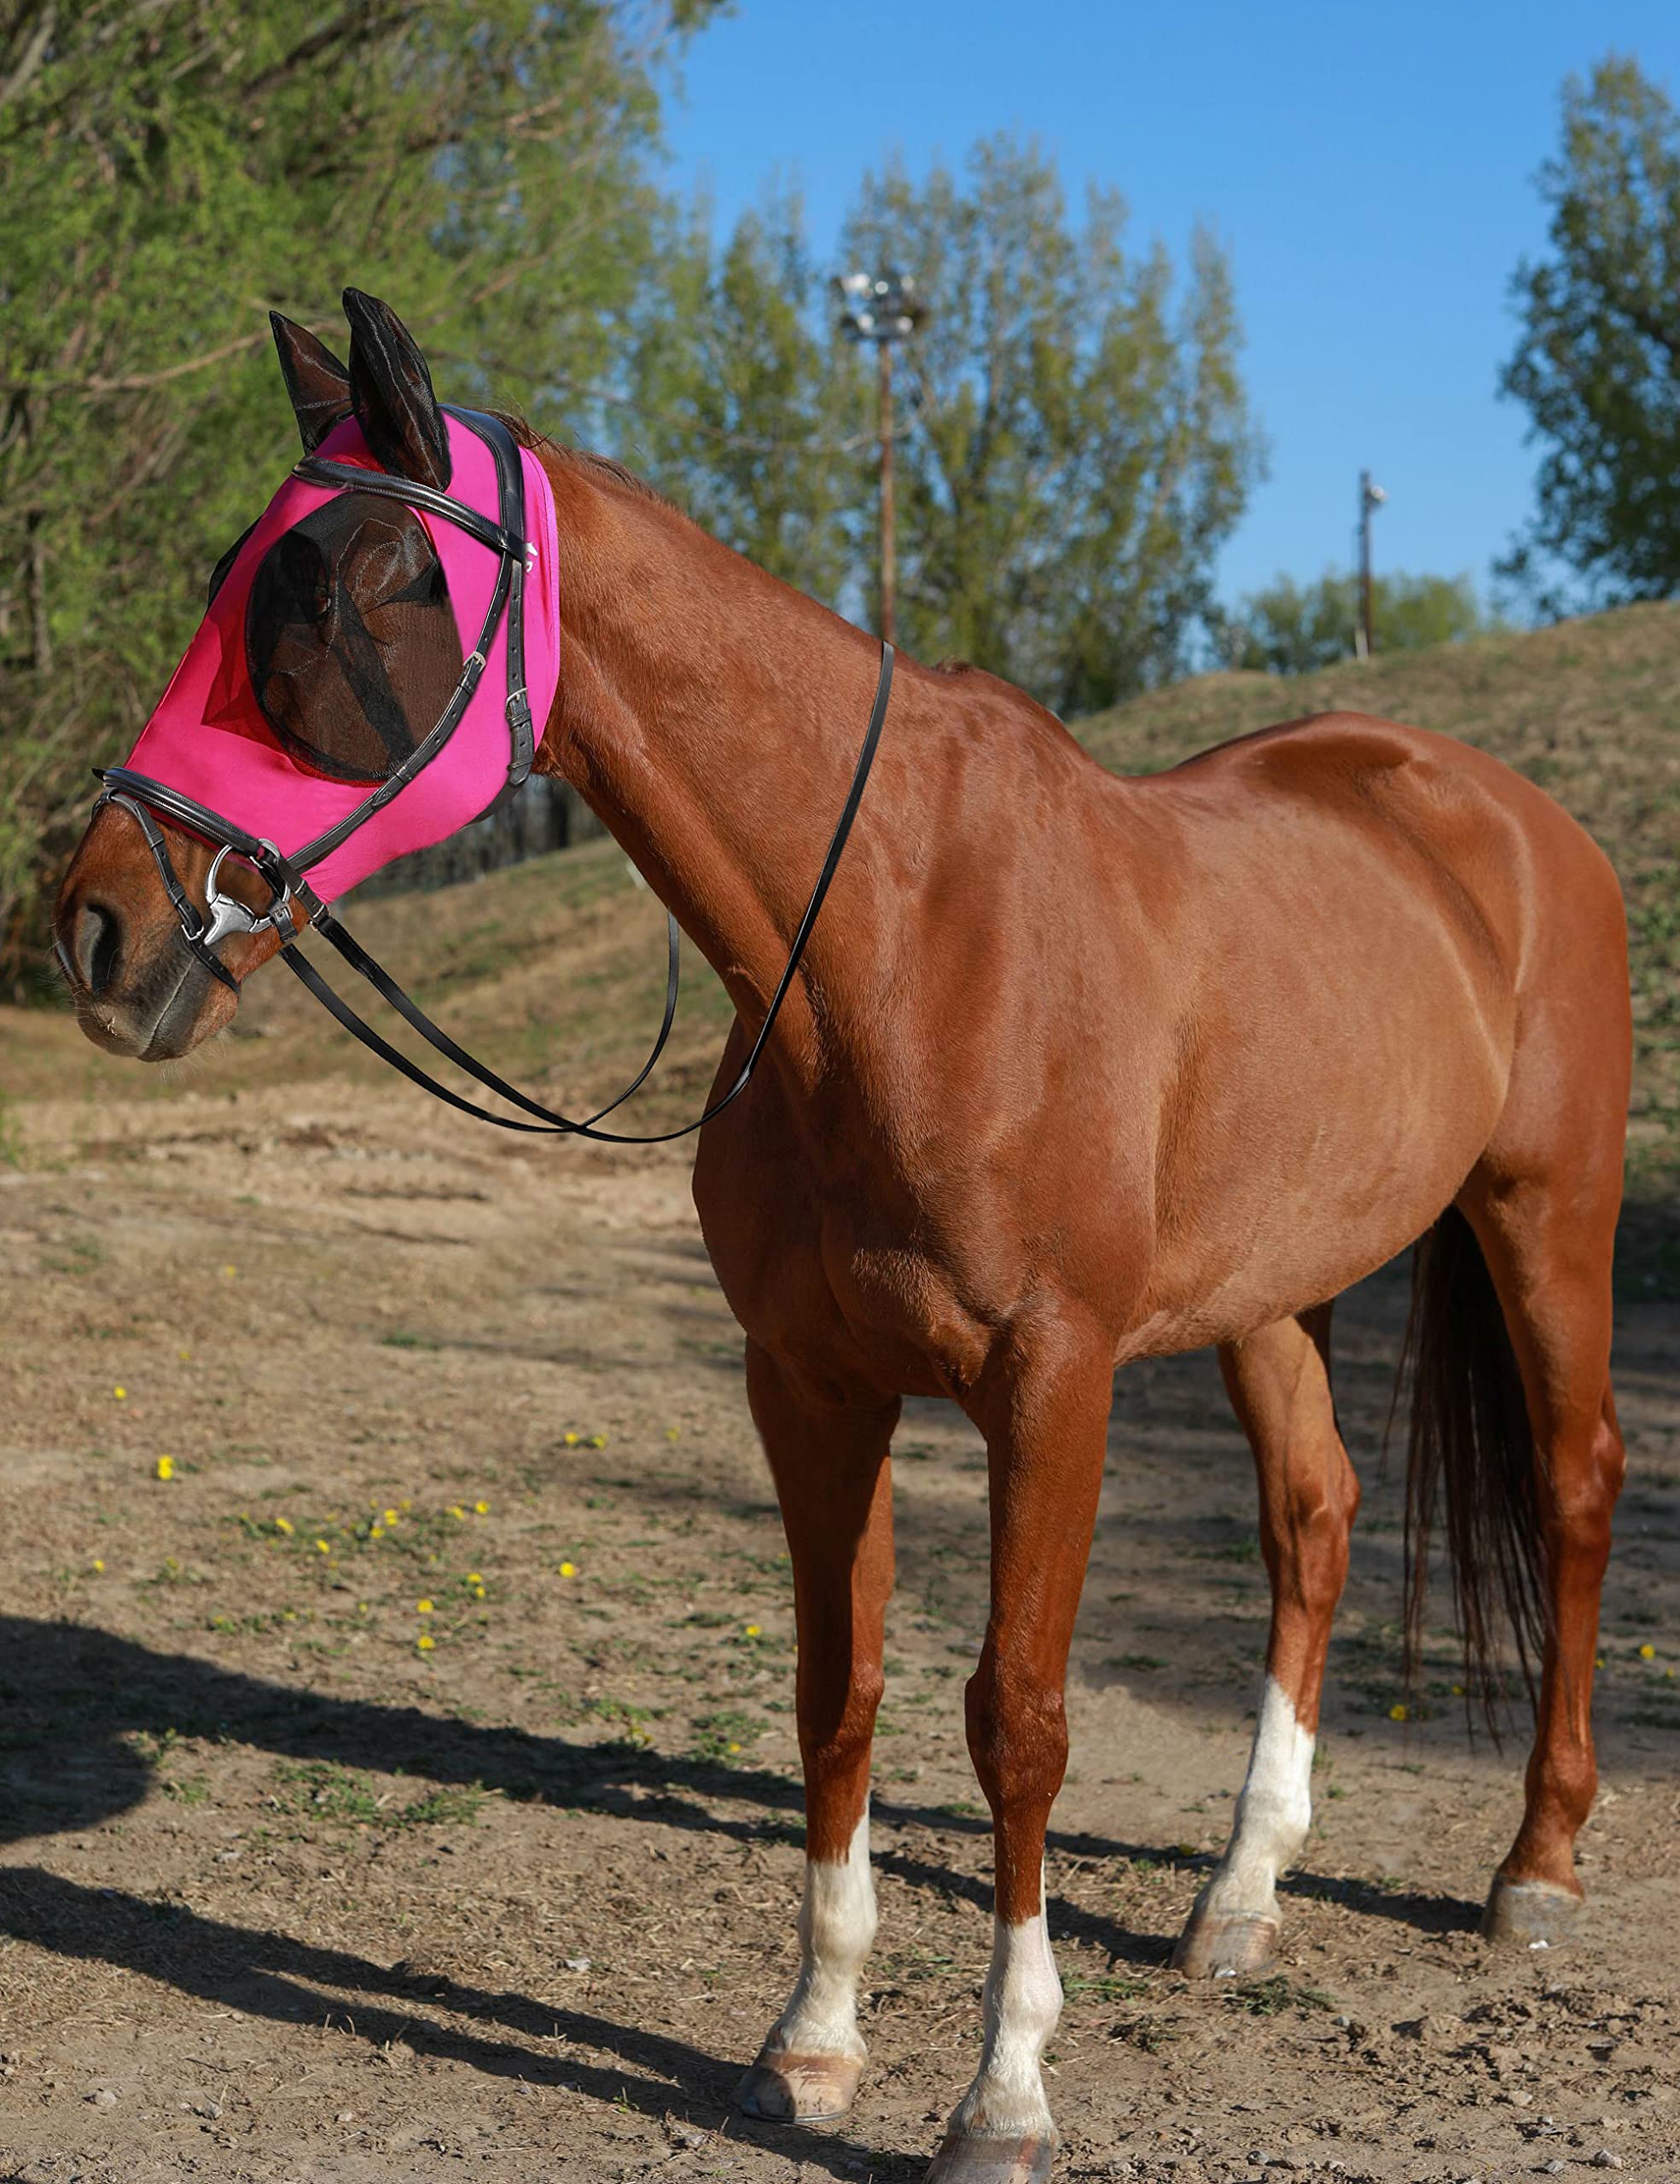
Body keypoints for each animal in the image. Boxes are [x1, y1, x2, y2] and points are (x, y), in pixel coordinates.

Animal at [52, 293, 1631, 2184]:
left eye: (341, 588)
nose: (96, 924)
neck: (894, 936)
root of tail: (1496, 815)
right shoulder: (807, 1385)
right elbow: (837, 1694)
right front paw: (807, 2045)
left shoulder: (1051, 1385)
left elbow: (1016, 1719)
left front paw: (1002, 2093)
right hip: (1275, 1291)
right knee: (1309, 1523)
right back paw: (1240, 1897)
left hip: (1544, 1221)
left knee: (1573, 1489)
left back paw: (1534, 1871)